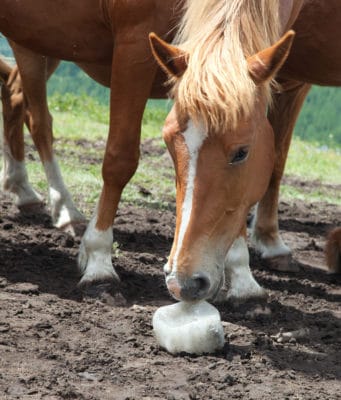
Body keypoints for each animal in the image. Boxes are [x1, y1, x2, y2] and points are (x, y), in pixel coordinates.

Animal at [0, 0, 338, 302]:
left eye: (242, 152)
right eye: (168, 144)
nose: (183, 282)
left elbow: (249, 188)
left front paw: (243, 279)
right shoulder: (135, 41)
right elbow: (120, 158)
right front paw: (99, 262)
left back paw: (30, 192)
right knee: (37, 118)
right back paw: (62, 208)